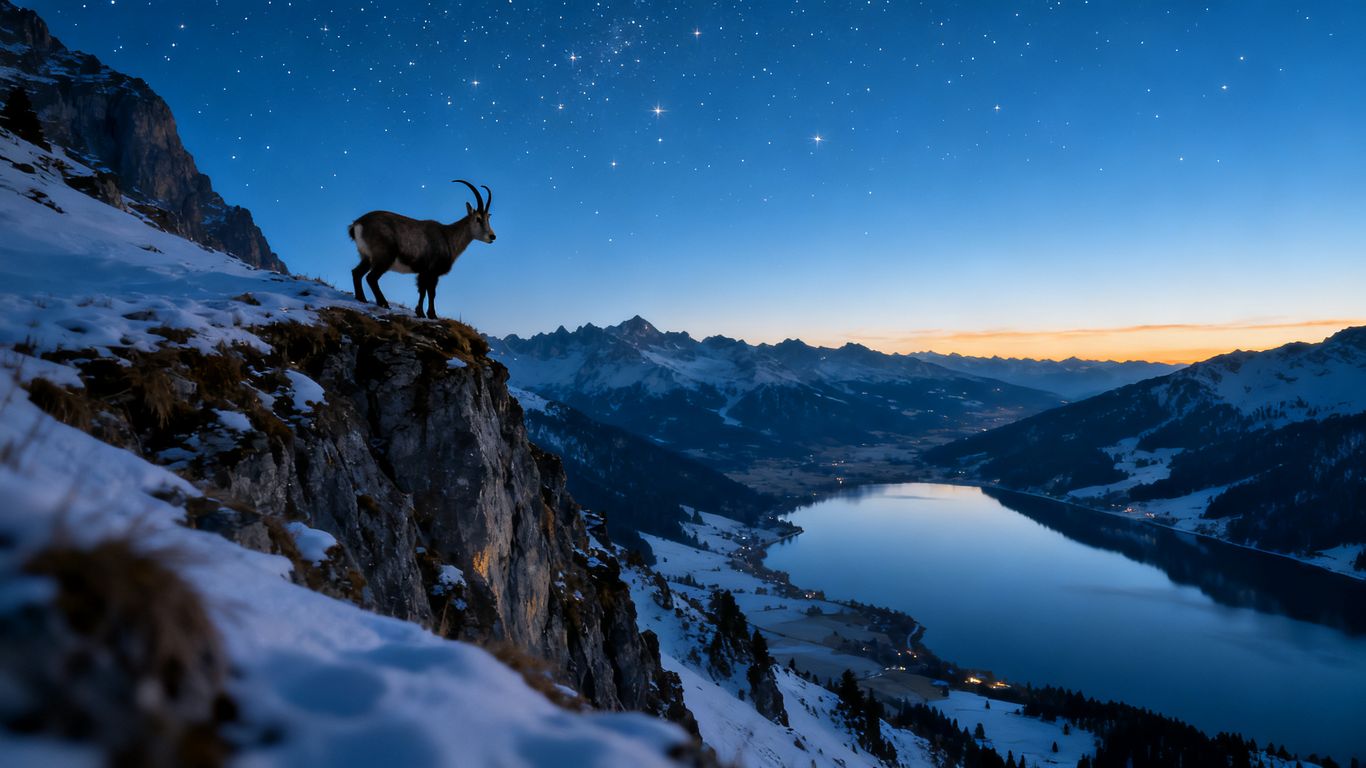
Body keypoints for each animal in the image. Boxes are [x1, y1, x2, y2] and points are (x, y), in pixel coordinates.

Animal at [348, 179, 496, 319]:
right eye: (478, 218)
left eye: (488, 217)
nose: (492, 236)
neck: (447, 237)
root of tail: (358, 224)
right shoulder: (431, 271)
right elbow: (429, 292)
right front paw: (429, 314)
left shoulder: (424, 272)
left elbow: (424, 291)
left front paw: (422, 313)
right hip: (384, 258)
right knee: (371, 277)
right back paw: (383, 303)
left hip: (366, 257)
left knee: (357, 272)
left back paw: (362, 299)